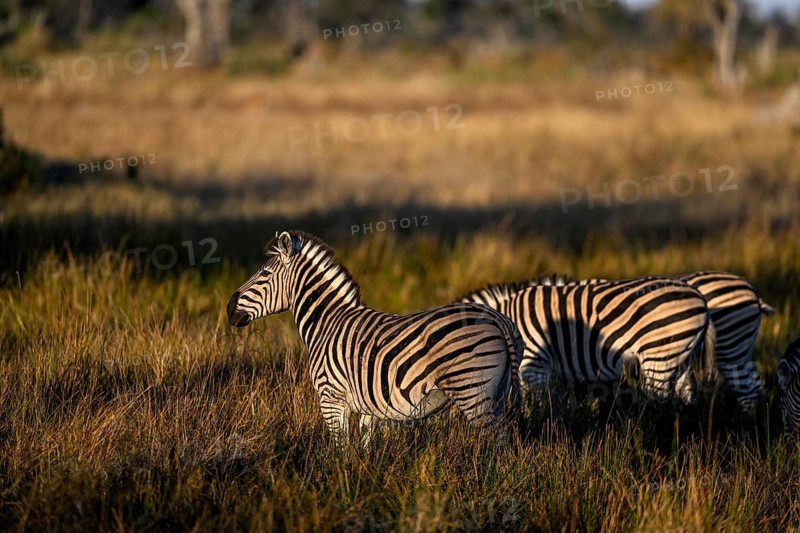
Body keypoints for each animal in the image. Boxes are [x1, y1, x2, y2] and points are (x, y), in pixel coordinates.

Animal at [226, 231, 523, 443]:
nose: (229, 309)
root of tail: (497, 319)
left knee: (494, 443)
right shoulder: (369, 406)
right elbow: (365, 446)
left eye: (264, 274)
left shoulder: (331, 398)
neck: (327, 322)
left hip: (473, 391)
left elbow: (340, 448)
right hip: (496, 393)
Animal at [458, 276, 715, 405]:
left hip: (660, 355)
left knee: (660, 400)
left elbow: (537, 403)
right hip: (681, 357)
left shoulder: (534, 364)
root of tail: (700, 297)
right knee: (685, 398)